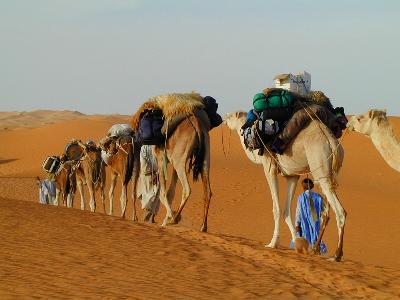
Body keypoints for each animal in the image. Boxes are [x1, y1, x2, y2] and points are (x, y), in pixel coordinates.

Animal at [225, 111, 346, 262]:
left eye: (231, 116)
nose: (224, 118)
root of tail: (332, 142)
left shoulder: (269, 167)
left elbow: (276, 209)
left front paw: (272, 243)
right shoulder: (292, 176)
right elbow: (287, 210)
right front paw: (299, 243)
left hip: (321, 169)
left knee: (340, 212)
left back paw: (336, 255)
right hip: (330, 173)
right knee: (325, 212)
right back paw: (315, 249)